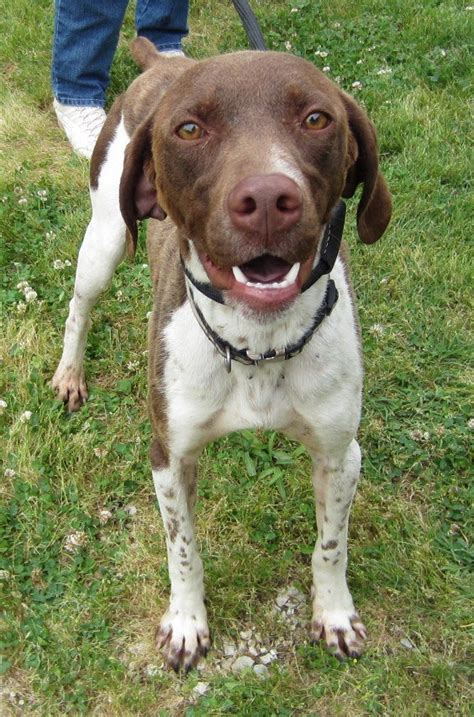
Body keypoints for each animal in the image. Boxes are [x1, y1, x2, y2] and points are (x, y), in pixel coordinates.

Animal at [52, 37, 392, 672]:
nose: (268, 198)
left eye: (317, 119)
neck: (259, 347)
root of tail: (164, 61)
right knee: (78, 306)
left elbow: (331, 546)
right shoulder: (169, 455)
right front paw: (187, 625)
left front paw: (334, 614)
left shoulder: (341, 454)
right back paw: (69, 373)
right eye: (189, 129)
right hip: (104, 239)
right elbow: (183, 551)